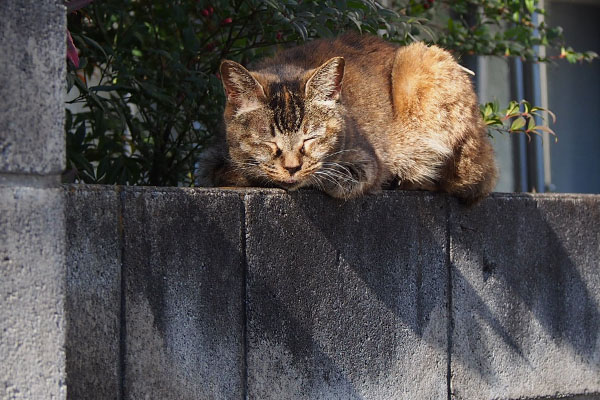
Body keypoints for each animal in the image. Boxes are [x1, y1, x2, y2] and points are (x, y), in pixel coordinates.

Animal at [209, 32, 500, 203]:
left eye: (311, 139)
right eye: (268, 141)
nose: (292, 167)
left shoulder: (367, 162)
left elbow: (333, 175)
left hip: (423, 61)